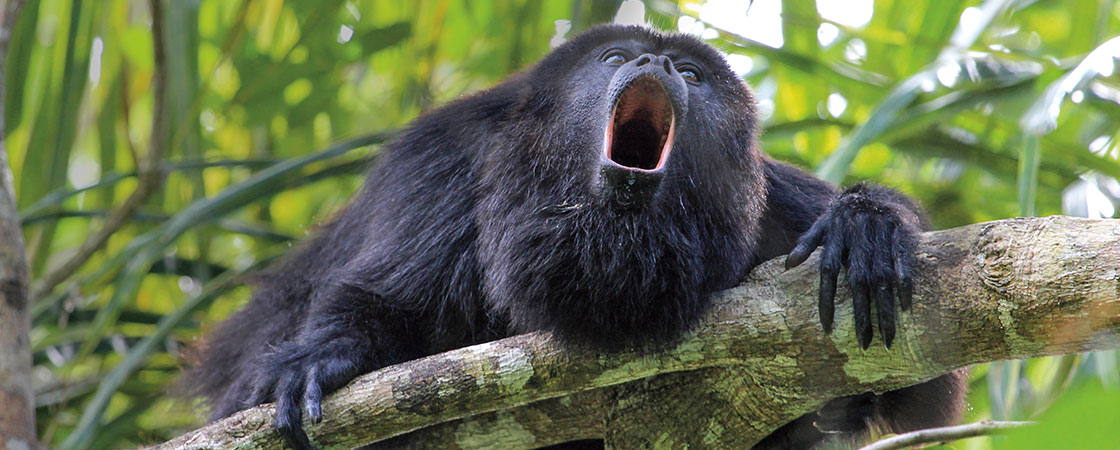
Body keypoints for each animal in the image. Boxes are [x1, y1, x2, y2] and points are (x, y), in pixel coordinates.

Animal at [181, 25, 963, 450]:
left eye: (689, 72)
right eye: (616, 57)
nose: (653, 64)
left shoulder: (770, 200)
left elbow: (921, 384)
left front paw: (864, 226)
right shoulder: (440, 160)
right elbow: (383, 299)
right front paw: (329, 355)